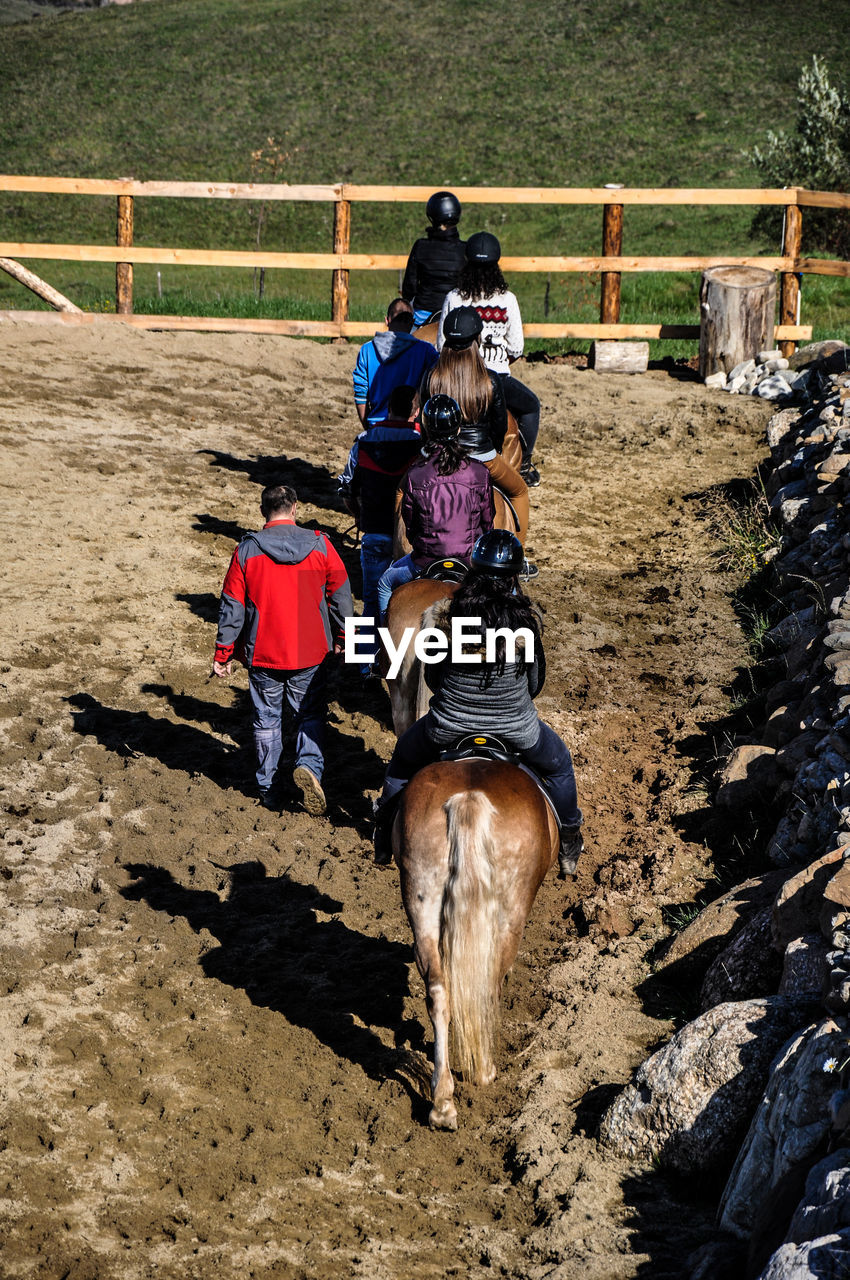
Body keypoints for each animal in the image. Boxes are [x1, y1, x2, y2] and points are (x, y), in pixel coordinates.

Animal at [391, 757, 558, 1131]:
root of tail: (467, 799)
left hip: (422, 901)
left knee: (439, 994)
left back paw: (442, 1103)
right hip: (510, 913)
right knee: (487, 987)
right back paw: (483, 1071)